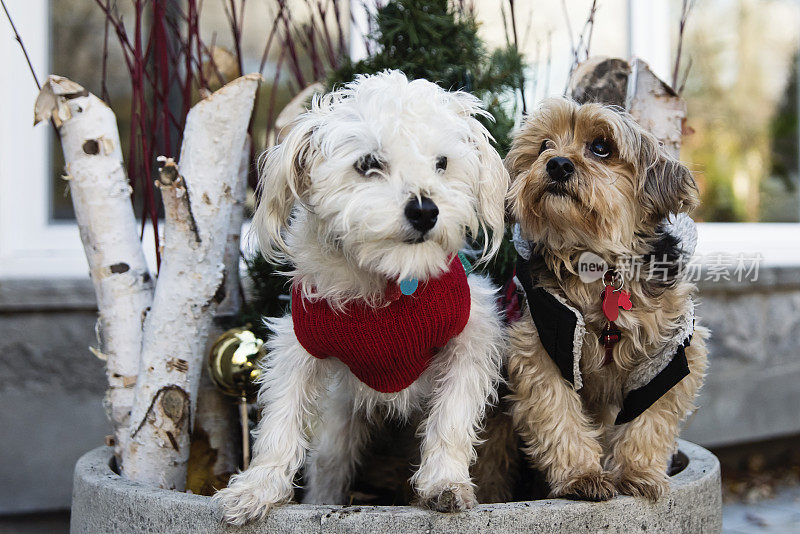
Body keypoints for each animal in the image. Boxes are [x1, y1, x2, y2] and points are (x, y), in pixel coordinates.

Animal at [214, 69, 506, 524]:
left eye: (442, 163)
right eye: (368, 163)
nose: (425, 210)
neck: (388, 278)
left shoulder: (471, 336)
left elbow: (451, 418)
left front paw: (445, 482)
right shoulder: (299, 344)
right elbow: (280, 422)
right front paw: (256, 489)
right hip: (337, 429)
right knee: (328, 467)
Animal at [504, 98, 708, 504]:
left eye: (601, 147)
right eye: (544, 145)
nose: (557, 164)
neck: (597, 266)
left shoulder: (670, 356)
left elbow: (650, 418)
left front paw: (637, 473)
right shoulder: (543, 345)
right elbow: (558, 413)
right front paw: (582, 475)